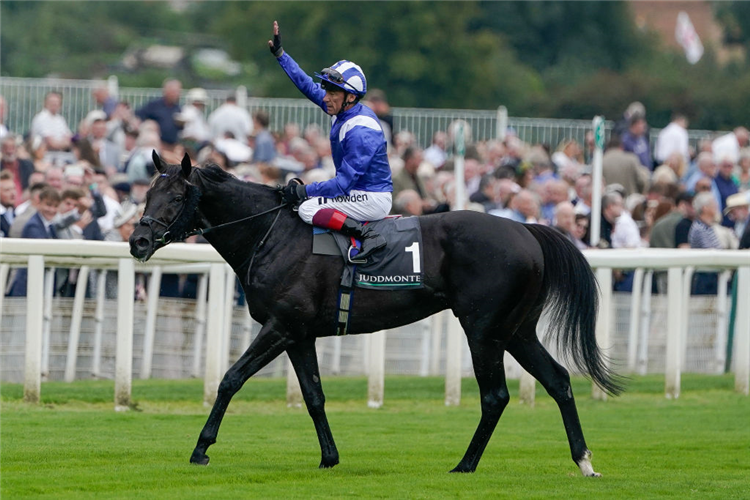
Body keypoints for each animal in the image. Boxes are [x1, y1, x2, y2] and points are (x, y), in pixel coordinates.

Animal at [129, 152, 624, 476]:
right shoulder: (300, 334)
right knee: (558, 380)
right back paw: (583, 460)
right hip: (517, 330)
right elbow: (313, 396)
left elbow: (231, 379)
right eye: (148, 193)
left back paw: (465, 464)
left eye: (175, 198)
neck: (270, 233)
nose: (137, 241)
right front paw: (329, 457)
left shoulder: (280, 326)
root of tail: (526, 230)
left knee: (495, 396)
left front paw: (201, 449)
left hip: (484, 330)